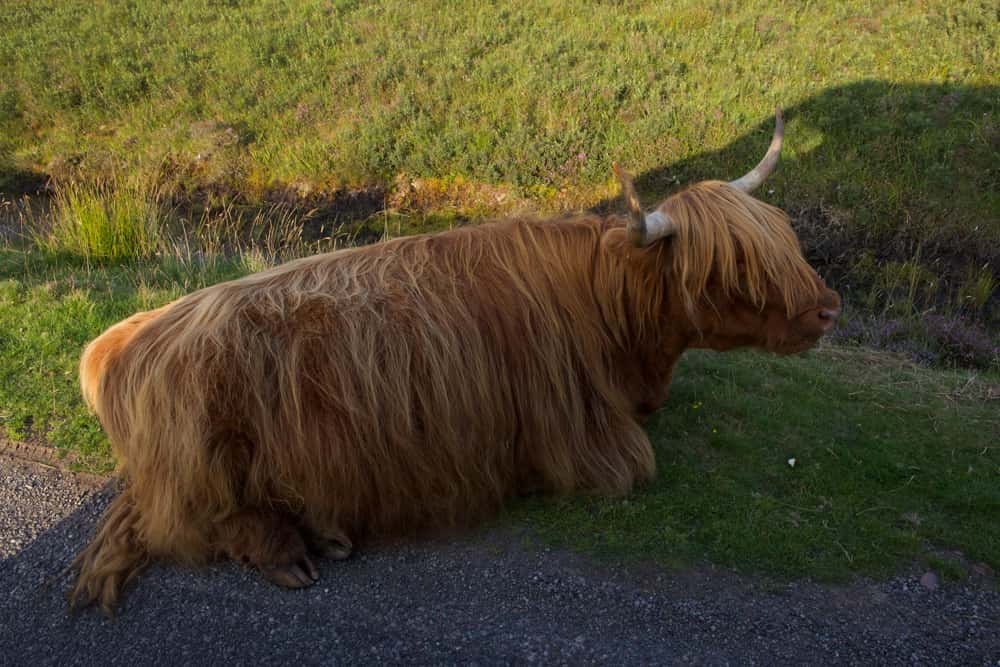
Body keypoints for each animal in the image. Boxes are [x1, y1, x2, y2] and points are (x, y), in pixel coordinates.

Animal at [70, 111, 840, 616]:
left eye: (783, 243)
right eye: (733, 271)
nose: (828, 309)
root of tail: (121, 342)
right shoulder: (586, 443)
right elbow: (634, 468)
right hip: (203, 466)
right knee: (194, 522)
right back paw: (292, 548)